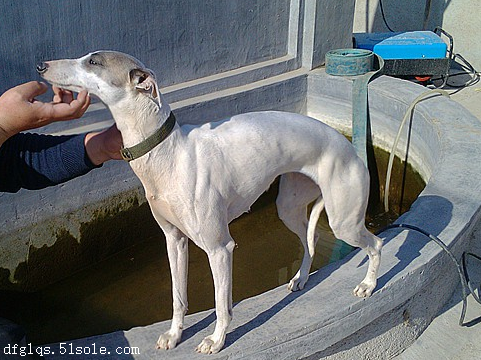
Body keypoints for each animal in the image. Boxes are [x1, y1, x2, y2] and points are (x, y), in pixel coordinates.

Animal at [37, 50, 382, 354]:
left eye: (93, 61)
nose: (41, 66)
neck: (168, 152)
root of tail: (348, 145)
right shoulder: (174, 240)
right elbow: (178, 297)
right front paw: (174, 335)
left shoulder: (219, 248)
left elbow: (220, 305)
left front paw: (216, 341)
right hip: (288, 207)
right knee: (310, 241)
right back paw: (300, 279)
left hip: (344, 221)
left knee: (375, 244)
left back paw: (367, 285)